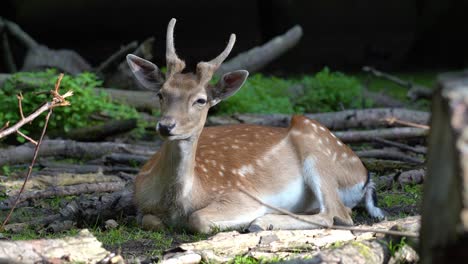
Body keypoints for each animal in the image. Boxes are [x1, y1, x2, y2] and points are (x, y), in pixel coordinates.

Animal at [126, 18, 386, 233]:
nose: (166, 126)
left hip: (317, 148)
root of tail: (365, 175)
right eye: (160, 93)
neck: (179, 202)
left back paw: (262, 221)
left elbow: (199, 219)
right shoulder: (140, 202)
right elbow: (147, 220)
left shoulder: (241, 196)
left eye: (201, 100)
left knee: (337, 214)